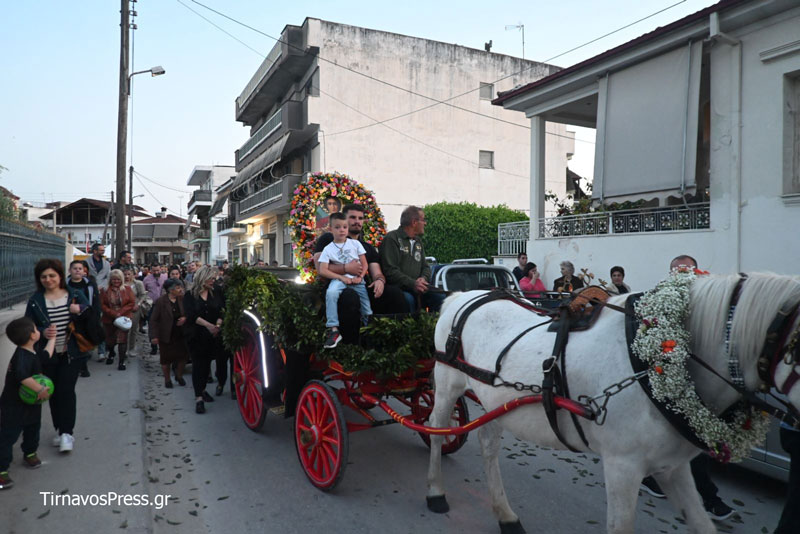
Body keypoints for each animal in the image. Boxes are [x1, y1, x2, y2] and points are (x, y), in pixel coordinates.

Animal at [426, 273, 800, 534]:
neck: (656, 359)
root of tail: (463, 296)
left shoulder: (673, 467)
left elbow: (700, 522)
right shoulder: (623, 466)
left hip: (493, 399)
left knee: (487, 442)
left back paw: (506, 515)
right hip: (446, 382)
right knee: (435, 431)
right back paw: (435, 493)